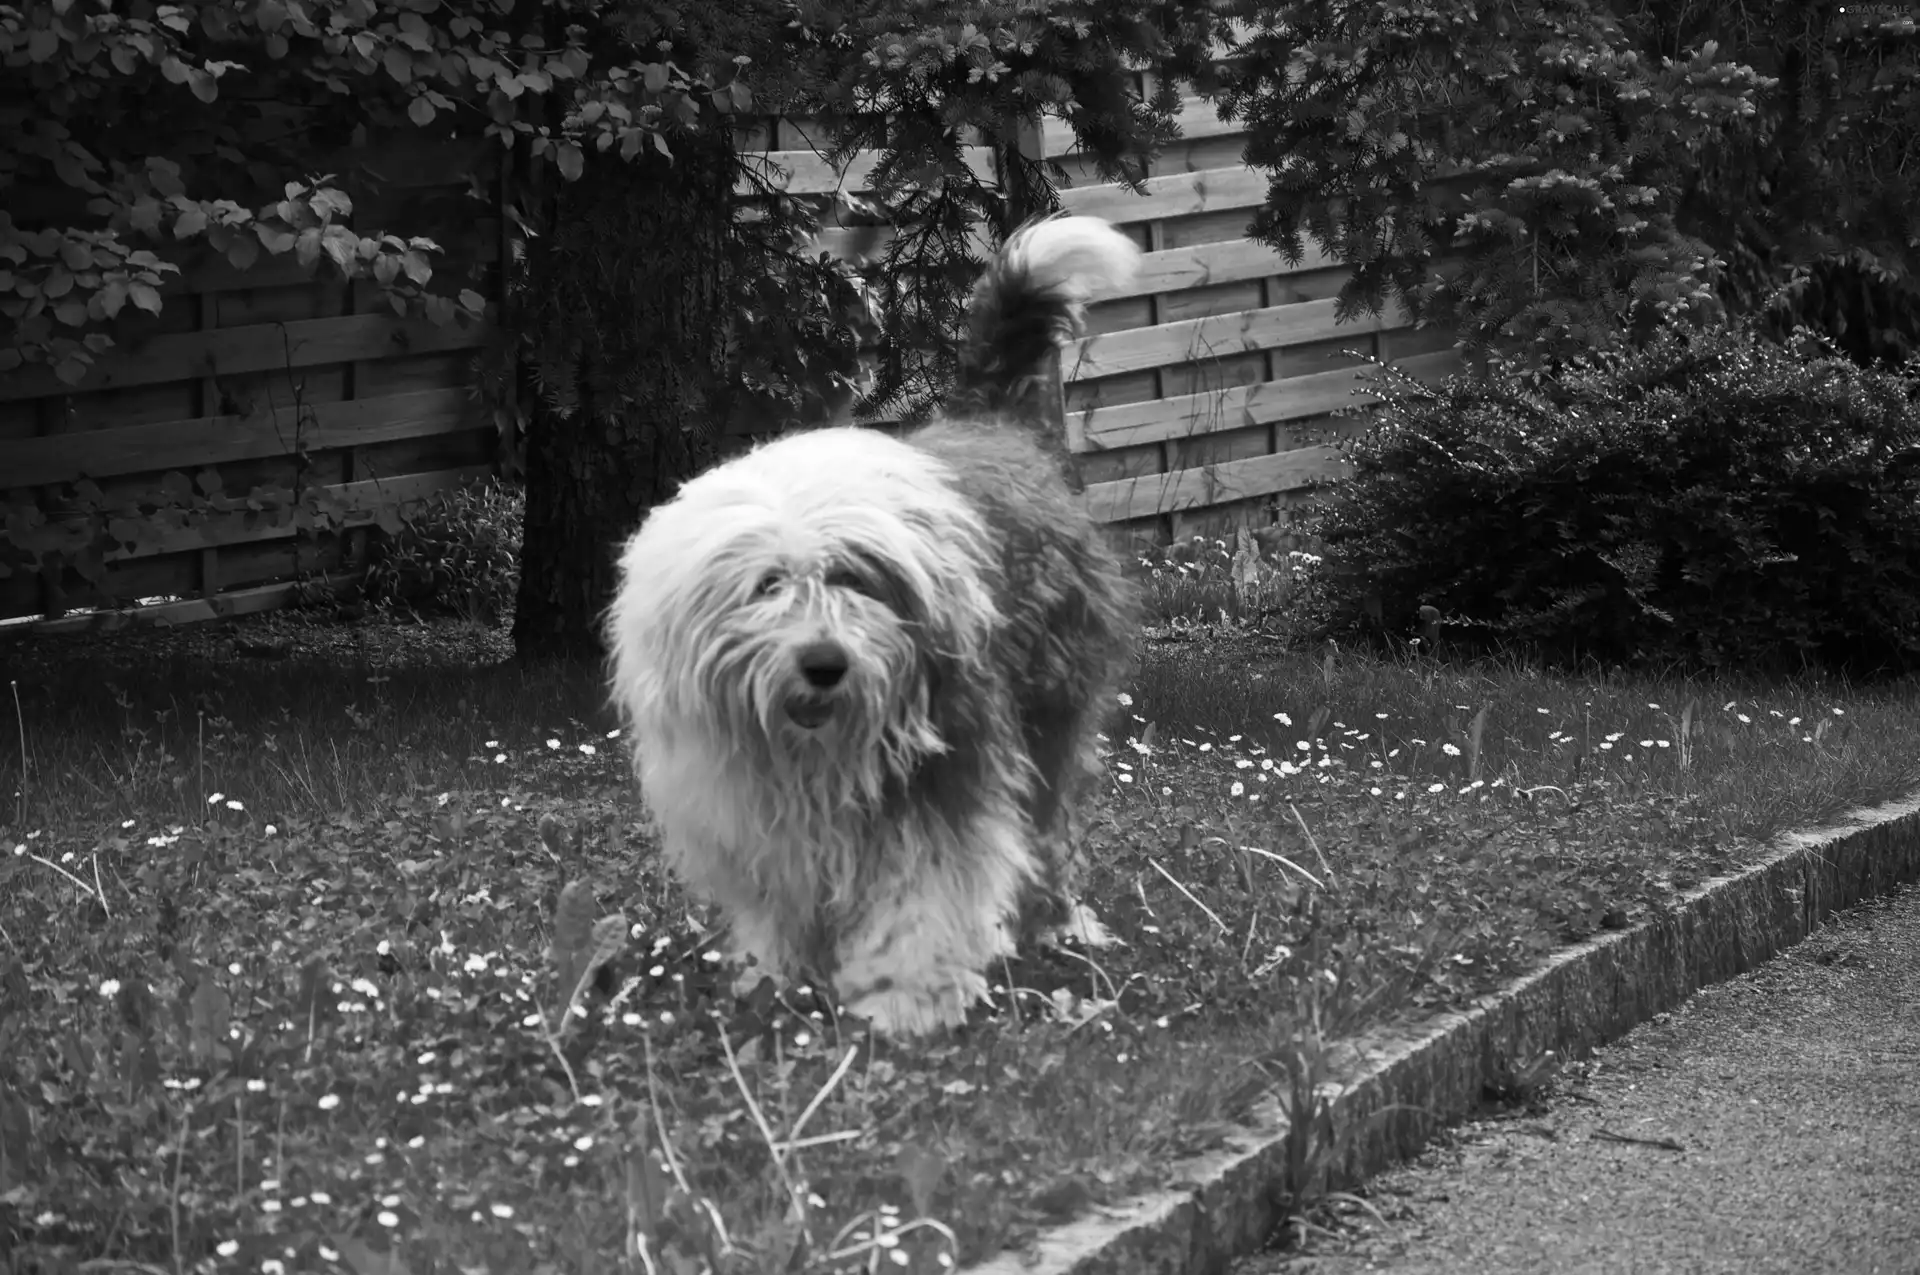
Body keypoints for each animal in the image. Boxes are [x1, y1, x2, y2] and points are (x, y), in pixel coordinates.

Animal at [606, 216, 1136, 1036]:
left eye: (853, 579)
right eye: (768, 585)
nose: (825, 665)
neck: (816, 750)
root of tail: (1000, 425)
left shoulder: (944, 776)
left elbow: (923, 899)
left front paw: (906, 997)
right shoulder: (754, 806)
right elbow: (782, 901)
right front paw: (778, 979)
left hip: (1050, 713)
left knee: (1048, 830)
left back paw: (1056, 924)